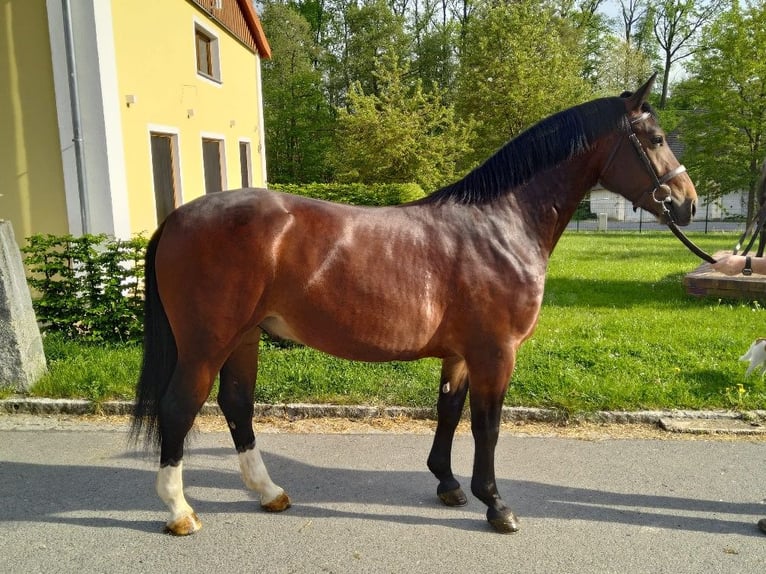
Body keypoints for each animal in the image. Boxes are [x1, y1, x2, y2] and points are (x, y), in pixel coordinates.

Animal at [131, 74, 697, 535]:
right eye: (655, 139)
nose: (688, 202)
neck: (500, 225)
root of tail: (177, 216)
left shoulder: (462, 354)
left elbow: (448, 410)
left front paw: (448, 484)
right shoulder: (496, 352)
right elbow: (487, 425)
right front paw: (496, 504)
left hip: (245, 338)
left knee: (237, 405)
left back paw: (269, 493)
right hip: (207, 343)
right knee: (179, 407)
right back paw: (179, 511)